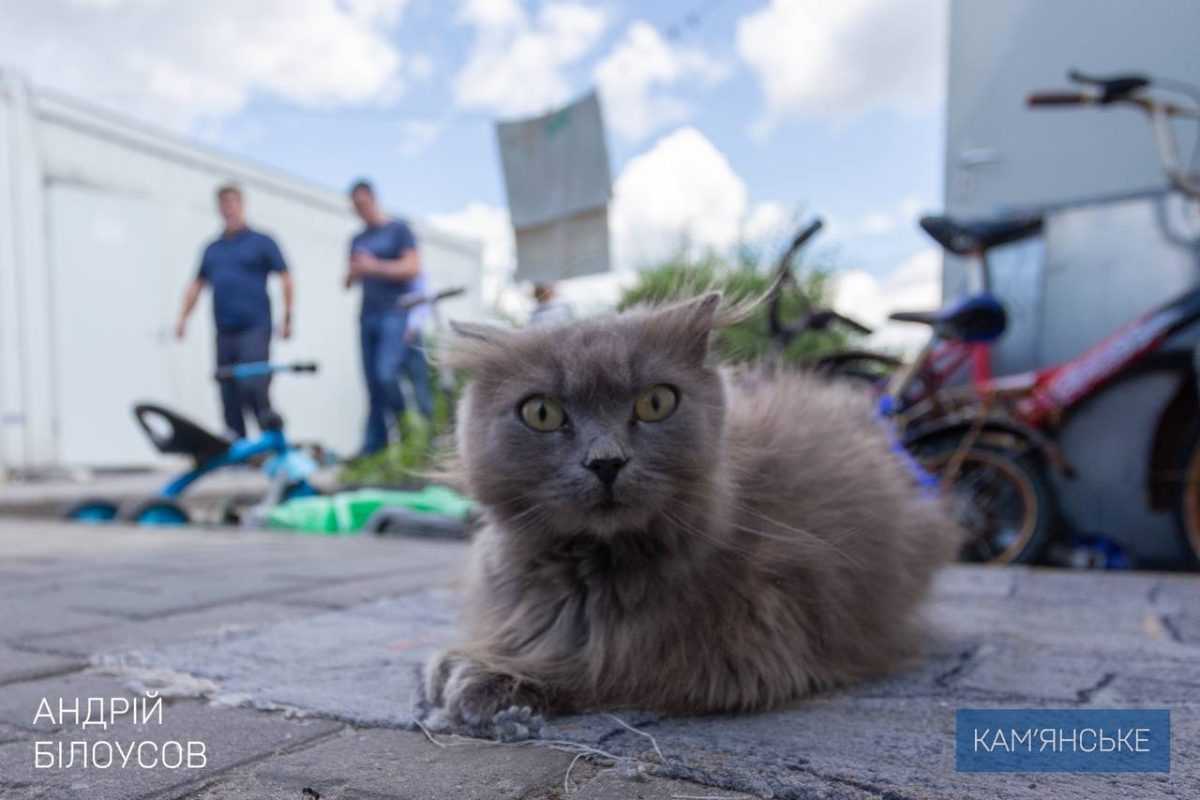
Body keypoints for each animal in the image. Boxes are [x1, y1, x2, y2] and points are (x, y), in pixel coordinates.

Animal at [422, 292, 955, 724]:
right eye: (542, 413)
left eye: (655, 403)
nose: (607, 461)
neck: (589, 571)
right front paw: (457, 662)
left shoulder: (740, 646)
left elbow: (599, 666)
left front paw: (486, 675)